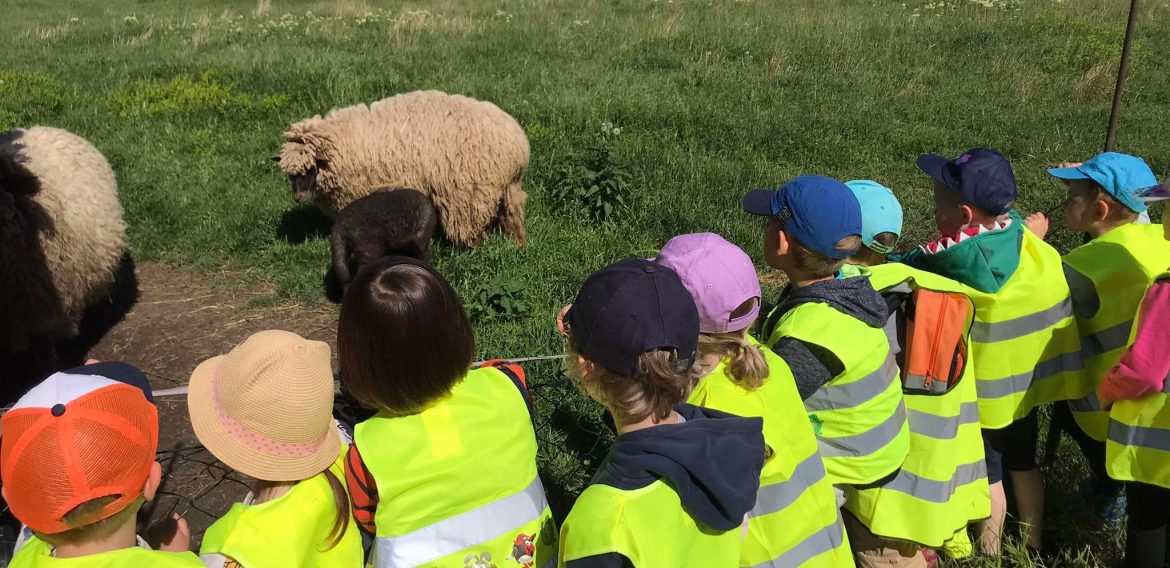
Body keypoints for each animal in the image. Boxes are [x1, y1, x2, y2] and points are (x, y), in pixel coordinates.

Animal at [273, 87, 531, 245]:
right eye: (290, 176)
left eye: (311, 169)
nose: (298, 198)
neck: (340, 144)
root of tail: (517, 142)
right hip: (509, 188)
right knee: (513, 216)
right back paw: (517, 243)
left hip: (467, 193)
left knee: (471, 228)